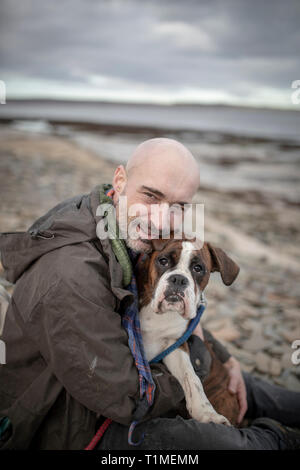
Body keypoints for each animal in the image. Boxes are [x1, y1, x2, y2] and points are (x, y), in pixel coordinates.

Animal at [135, 235, 240, 426]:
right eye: (163, 261)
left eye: (198, 268)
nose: (178, 279)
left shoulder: (176, 345)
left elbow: (191, 377)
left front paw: (207, 413)